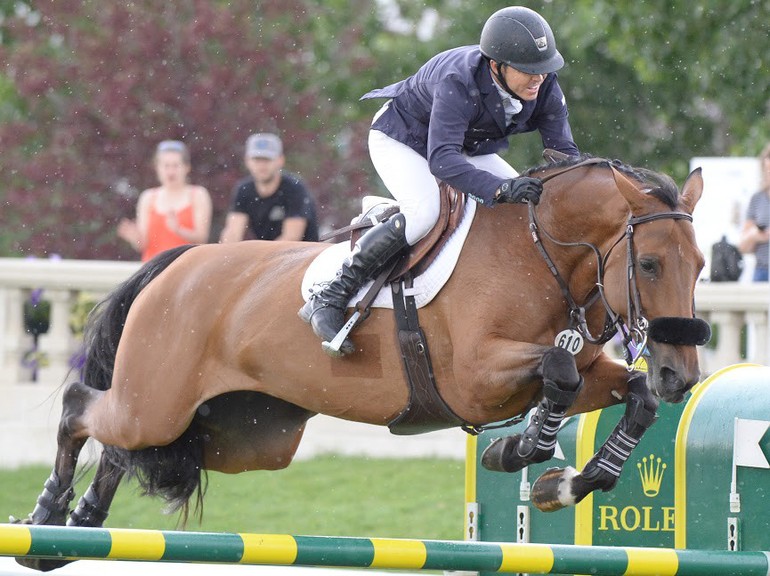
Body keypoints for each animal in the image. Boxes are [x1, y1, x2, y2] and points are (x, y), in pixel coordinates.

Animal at [13, 154, 708, 572]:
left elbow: (634, 396)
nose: (684, 375)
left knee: (125, 447)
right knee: (82, 408)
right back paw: (46, 517)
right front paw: (521, 450)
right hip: (157, 402)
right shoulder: (475, 379)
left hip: (242, 437)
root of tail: (178, 263)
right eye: (649, 265)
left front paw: (557, 482)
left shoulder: (582, 370)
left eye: (700, 266)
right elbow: (555, 376)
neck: (537, 254)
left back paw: (77, 528)